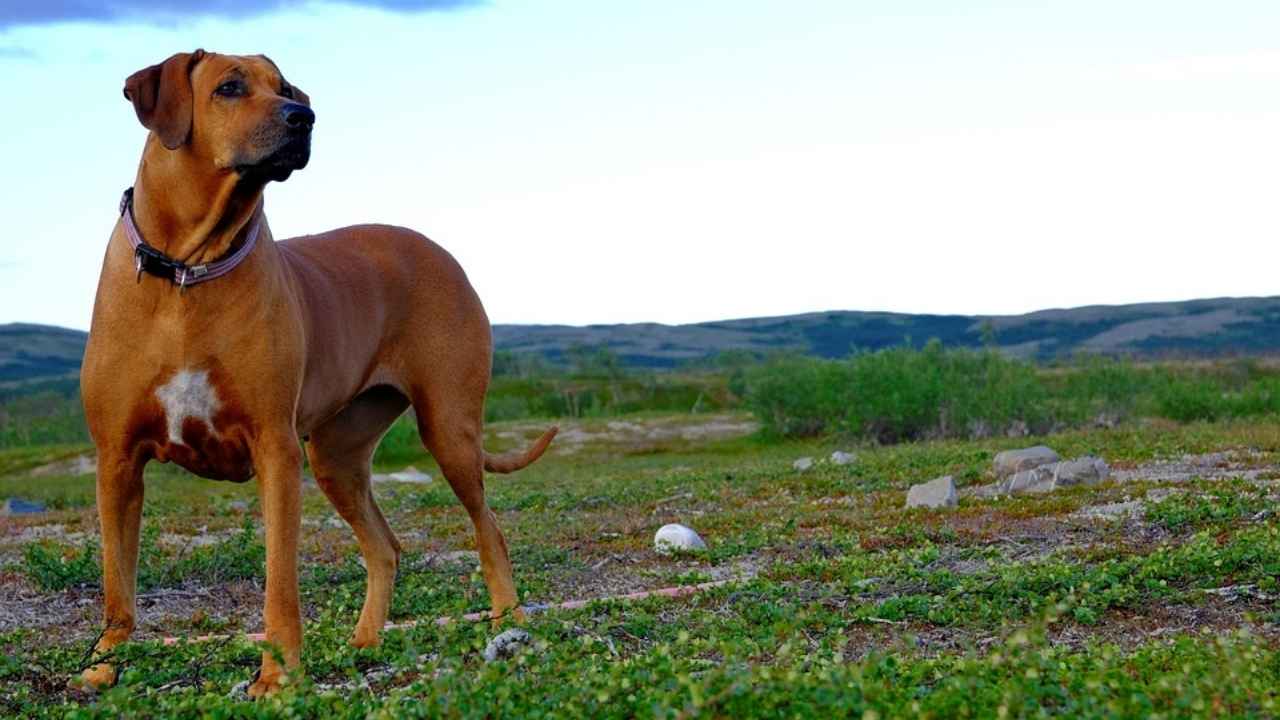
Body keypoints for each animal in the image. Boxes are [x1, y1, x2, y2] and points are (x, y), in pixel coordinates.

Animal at [80, 47, 555, 691]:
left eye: (284, 88)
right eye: (229, 88)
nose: (302, 117)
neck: (187, 273)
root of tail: (438, 250)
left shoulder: (274, 448)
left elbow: (280, 584)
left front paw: (277, 677)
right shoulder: (117, 460)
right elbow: (115, 583)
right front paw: (104, 665)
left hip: (448, 428)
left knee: (490, 531)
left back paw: (509, 622)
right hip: (336, 454)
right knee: (385, 546)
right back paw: (365, 641)